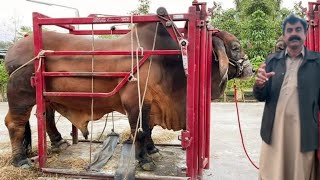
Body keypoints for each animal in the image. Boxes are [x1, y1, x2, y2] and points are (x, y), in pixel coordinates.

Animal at [2, 21, 252, 169]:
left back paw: (58, 142)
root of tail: (14, 48)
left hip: (46, 95)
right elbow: (140, 131)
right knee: (15, 123)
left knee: (46, 117)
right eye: (236, 47)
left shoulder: (152, 104)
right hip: (21, 92)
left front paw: (152, 150)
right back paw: (21, 160)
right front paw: (144, 160)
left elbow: (148, 130)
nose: (249, 68)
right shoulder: (136, 103)